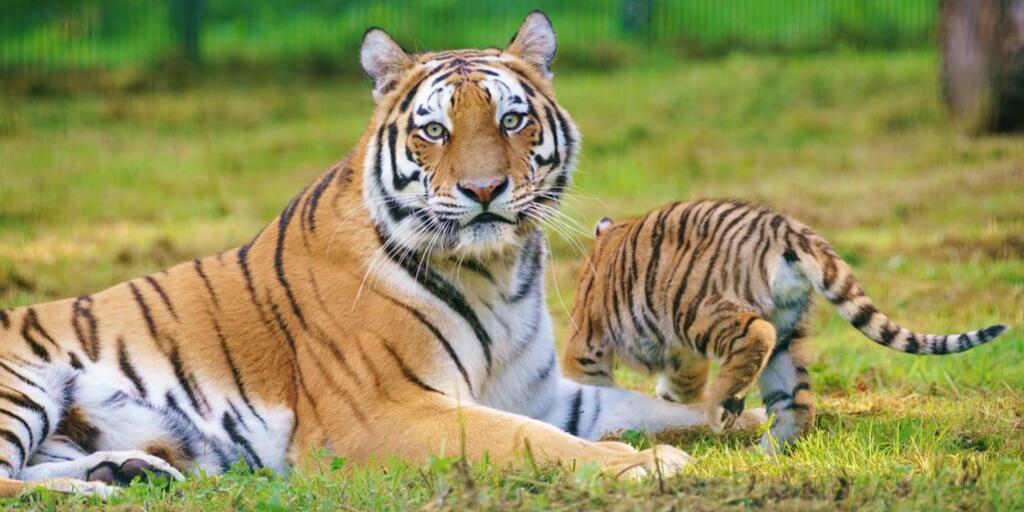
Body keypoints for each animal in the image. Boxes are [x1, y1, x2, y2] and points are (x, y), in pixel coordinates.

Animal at [0, 13, 762, 498]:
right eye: (435, 130)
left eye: (511, 119)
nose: (484, 190)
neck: (497, 275)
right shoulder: (388, 410)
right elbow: (528, 442)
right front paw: (643, 465)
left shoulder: (542, 394)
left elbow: (655, 407)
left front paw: (750, 418)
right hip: (23, 386)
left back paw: (127, 472)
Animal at [562, 199, 1008, 450]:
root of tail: (787, 229)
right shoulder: (681, 359)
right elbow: (674, 394)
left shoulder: (588, 339)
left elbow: (586, 384)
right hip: (786, 334)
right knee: (798, 402)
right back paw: (764, 452)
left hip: (693, 308)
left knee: (757, 334)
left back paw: (724, 409)